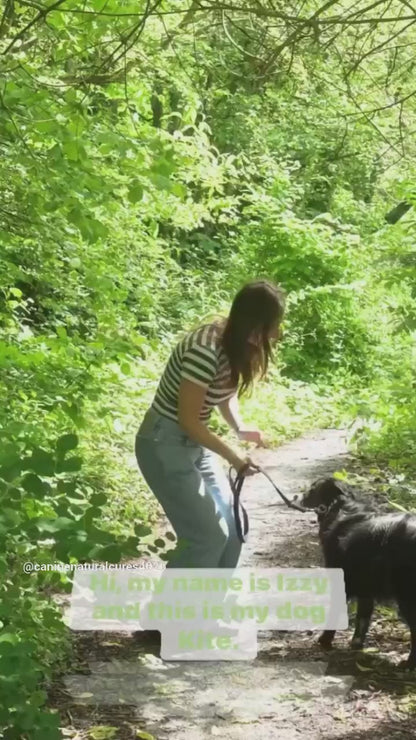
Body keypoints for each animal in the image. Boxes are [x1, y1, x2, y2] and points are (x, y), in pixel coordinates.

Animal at [300, 476, 416, 668]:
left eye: (312, 489)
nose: (301, 497)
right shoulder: (365, 587)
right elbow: (363, 618)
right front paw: (356, 645)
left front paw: (325, 640)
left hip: (406, 596)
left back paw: (409, 663)